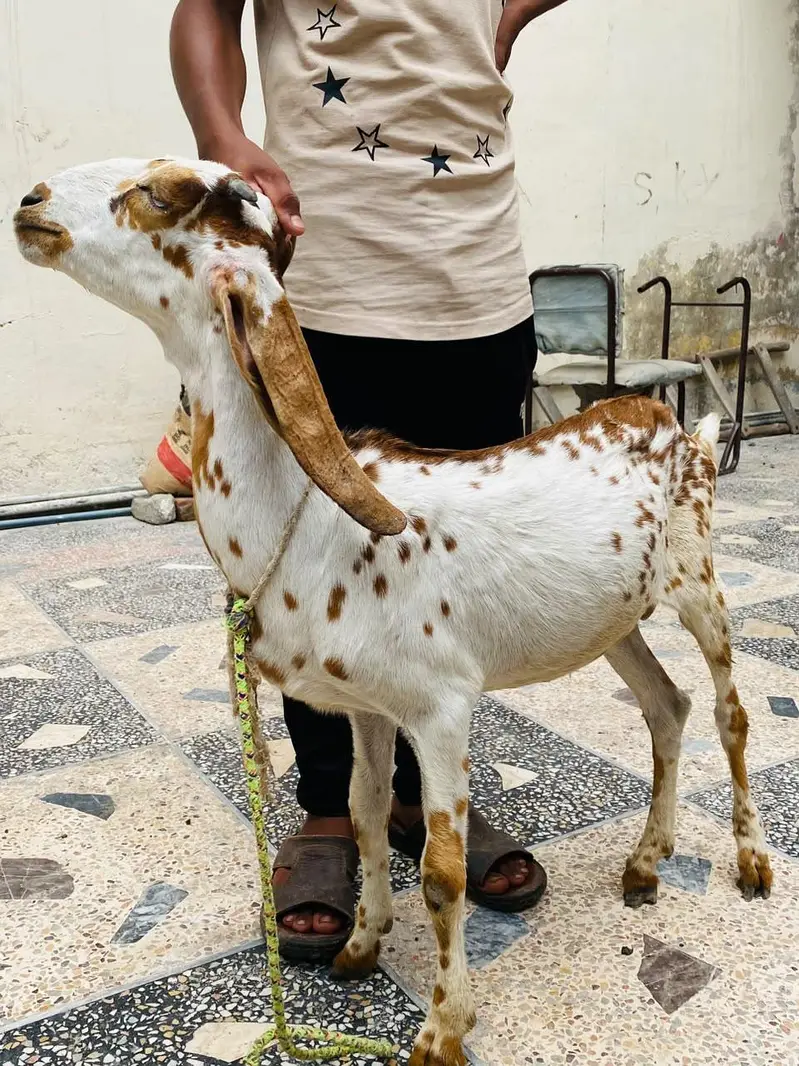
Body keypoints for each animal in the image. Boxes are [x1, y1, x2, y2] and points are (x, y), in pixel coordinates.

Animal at [15, 158, 772, 1066]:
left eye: (160, 193)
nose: (30, 205)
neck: (309, 519)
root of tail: (673, 421)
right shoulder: (367, 708)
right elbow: (367, 816)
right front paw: (360, 943)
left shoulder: (440, 706)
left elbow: (442, 872)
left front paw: (442, 1028)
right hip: (612, 620)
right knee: (667, 705)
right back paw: (646, 863)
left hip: (698, 582)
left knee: (729, 711)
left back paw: (750, 862)